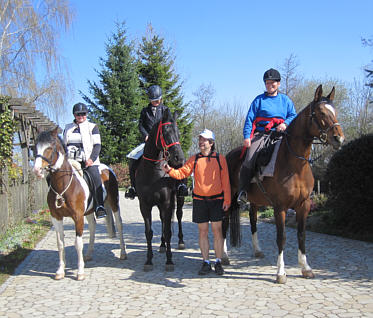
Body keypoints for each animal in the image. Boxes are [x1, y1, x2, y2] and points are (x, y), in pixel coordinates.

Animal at [33, 126, 126, 280]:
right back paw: (88, 255)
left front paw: (80, 272)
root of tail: (107, 169)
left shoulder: (77, 216)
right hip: (88, 212)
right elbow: (60, 243)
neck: (63, 185)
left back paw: (123, 253)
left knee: (119, 224)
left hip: (114, 203)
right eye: (35, 146)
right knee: (93, 226)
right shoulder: (56, 217)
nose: (37, 170)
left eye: (50, 147)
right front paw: (60, 271)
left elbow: (78, 243)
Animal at [135, 109, 185, 270]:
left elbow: (168, 231)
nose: (179, 159)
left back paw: (181, 242)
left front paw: (169, 260)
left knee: (179, 215)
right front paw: (149, 260)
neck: (153, 173)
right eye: (165, 132)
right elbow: (149, 232)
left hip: (179, 198)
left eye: (178, 133)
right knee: (163, 220)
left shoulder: (167, 203)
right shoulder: (144, 205)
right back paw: (162, 245)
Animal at [224, 85, 342, 284]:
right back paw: (223, 256)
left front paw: (306, 268)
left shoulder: (304, 206)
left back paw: (257, 250)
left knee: (253, 221)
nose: (339, 138)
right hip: (230, 198)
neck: (295, 165)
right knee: (223, 222)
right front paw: (280, 273)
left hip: (254, 202)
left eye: (335, 111)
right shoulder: (280, 207)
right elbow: (282, 237)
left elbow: (301, 235)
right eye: (321, 112)